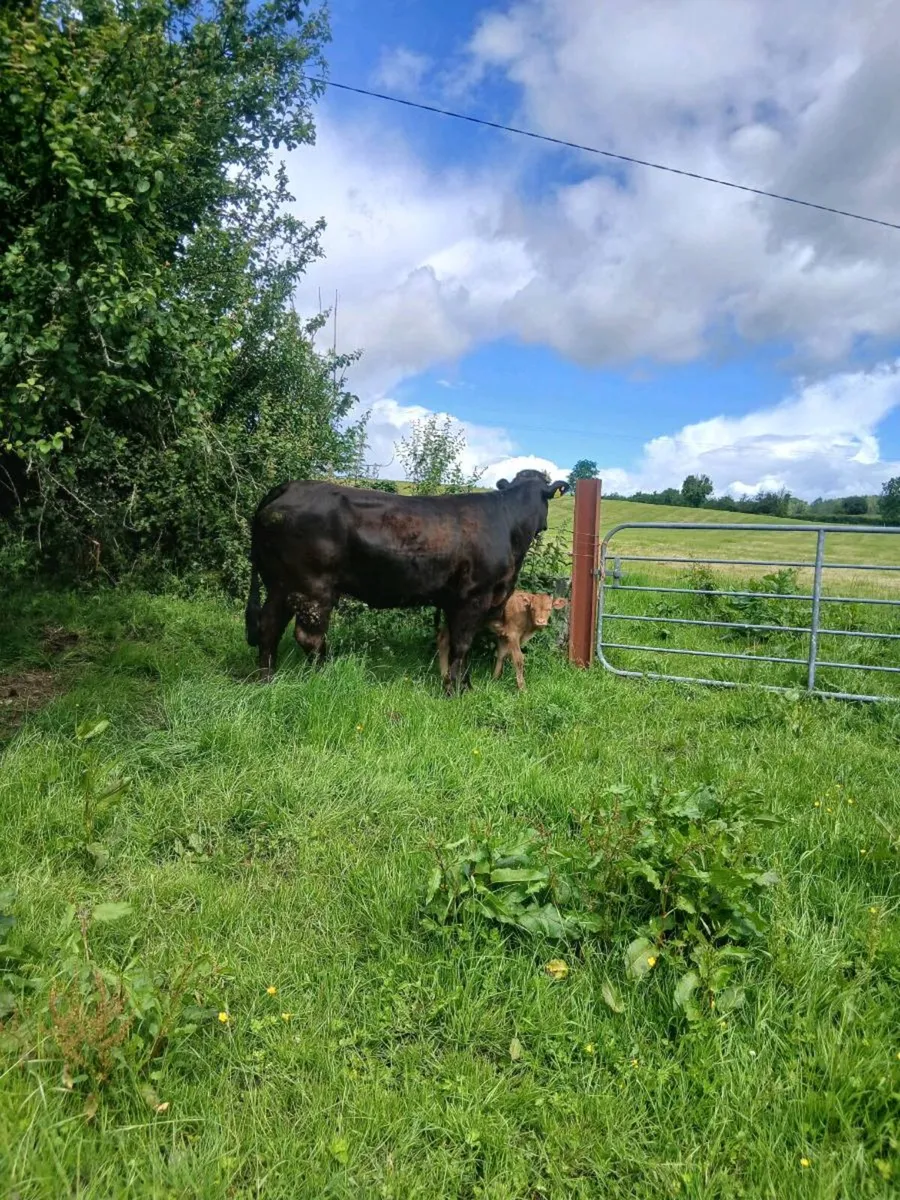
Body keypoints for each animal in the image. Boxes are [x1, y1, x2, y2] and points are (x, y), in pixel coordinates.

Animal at [437, 590, 568, 690]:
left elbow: (501, 654)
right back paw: (445, 677)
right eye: (533, 608)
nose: (540, 621)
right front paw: (522, 688)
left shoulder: (504, 635)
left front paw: (494, 679)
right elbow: (518, 659)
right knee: (444, 640)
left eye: (549, 609)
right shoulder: (513, 634)